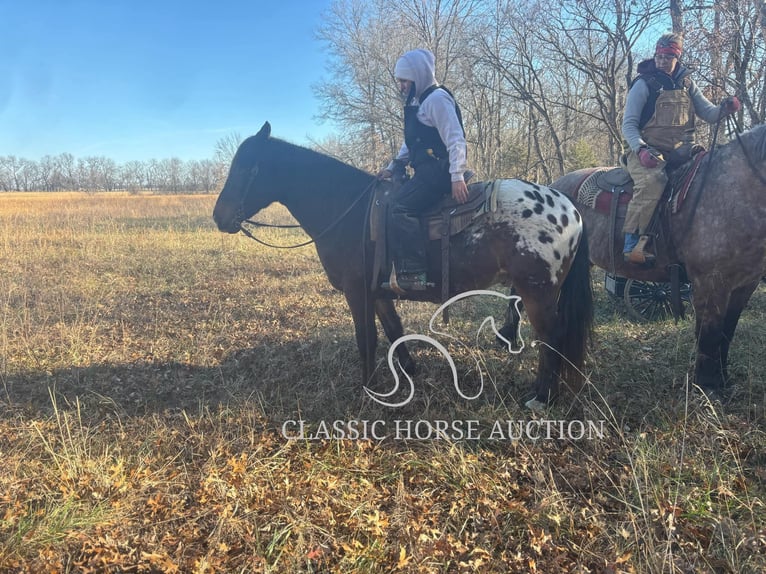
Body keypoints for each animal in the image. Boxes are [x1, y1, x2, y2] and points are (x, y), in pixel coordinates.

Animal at [213, 123, 596, 408]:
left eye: (246, 168)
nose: (219, 216)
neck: (348, 209)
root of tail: (569, 207)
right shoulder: (378, 290)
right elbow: (393, 329)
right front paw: (410, 370)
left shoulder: (356, 291)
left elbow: (366, 337)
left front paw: (368, 388)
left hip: (537, 293)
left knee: (552, 337)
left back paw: (542, 397)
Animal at [552, 125, 766, 396]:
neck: (734, 189)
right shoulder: (710, 283)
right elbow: (709, 335)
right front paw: (709, 387)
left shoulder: (744, 284)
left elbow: (726, 333)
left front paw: (724, 382)